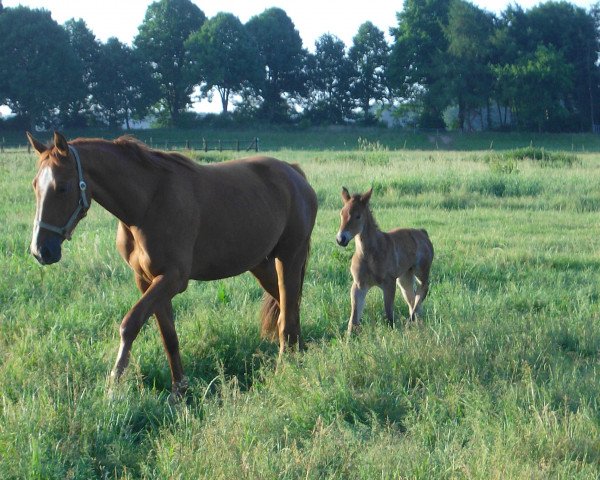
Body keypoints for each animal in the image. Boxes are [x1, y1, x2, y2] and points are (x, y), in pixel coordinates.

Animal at [27, 131, 318, 394]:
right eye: (35, 186)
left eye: (62, 187)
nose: (41, 250)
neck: (147, 205)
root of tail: (295, 174)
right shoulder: (147, 281)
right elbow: (169, 337)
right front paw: (180, 390)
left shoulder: (173, 279)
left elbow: (130, 324)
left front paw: (114, 382)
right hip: (261, 264)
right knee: (289, 307)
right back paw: (299, 353)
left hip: (289, 258)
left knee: (287, 315)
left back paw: (285, 366)